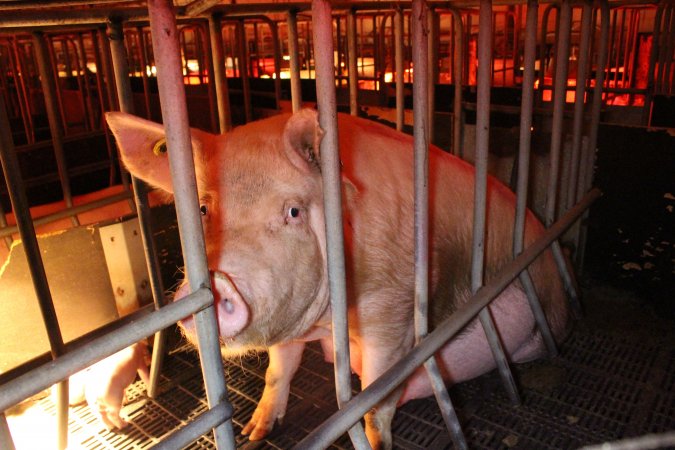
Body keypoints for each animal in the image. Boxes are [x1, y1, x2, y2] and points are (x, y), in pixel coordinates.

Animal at [107, 110, 572, 450]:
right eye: (203, 210)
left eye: (293, 211)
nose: (222, 281)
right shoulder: (288, 310)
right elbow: (278, 370)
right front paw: (253, 433)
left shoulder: (393, 309)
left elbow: (375, 399)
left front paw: (376, 440)